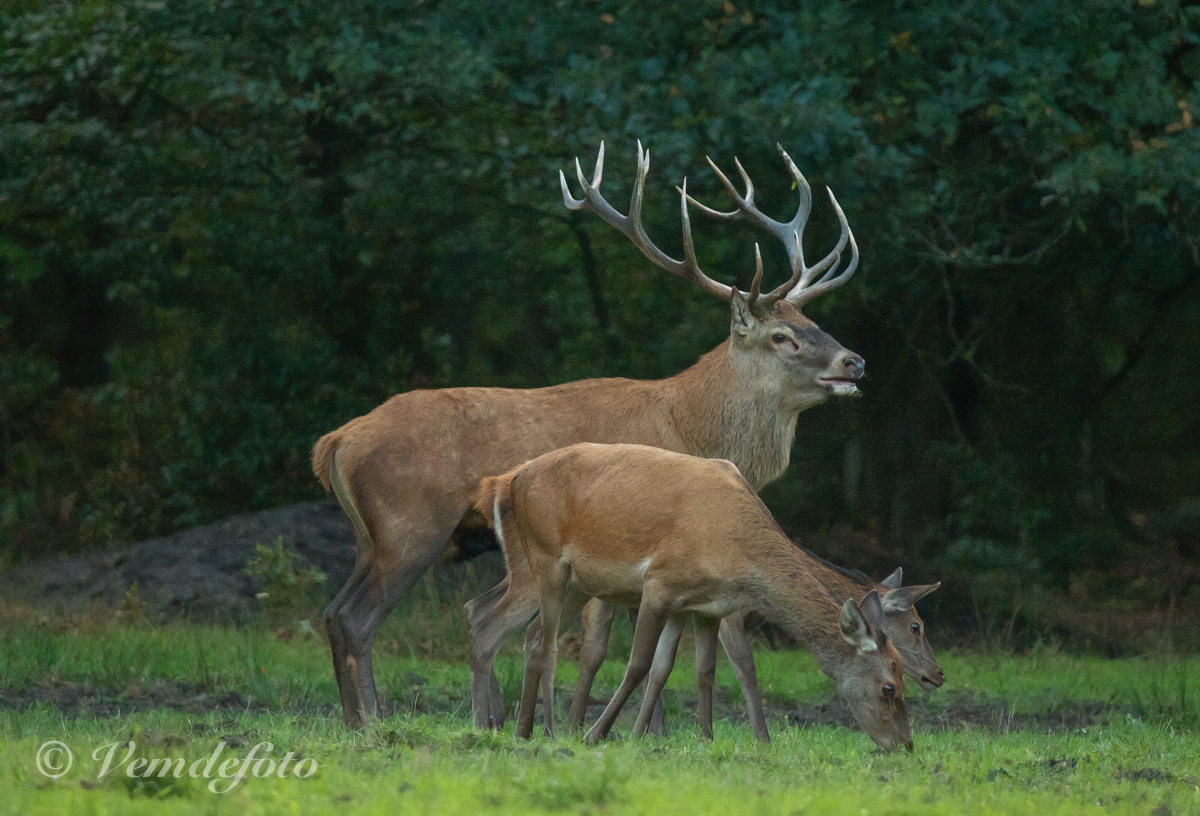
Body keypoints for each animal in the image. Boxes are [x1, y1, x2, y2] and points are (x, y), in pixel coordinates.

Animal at [313, 139, 867, 726]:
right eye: (782, 335)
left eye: (816, 324)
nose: (854, 361)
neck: (690, 426)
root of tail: (335, 443)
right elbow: (624, 646)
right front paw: (639, 730)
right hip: (411, 527)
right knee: (360, 618)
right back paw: (375, 719)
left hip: (369, 538)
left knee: (334, 610)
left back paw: (368, 720)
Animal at [473, 442, 915, 752]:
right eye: (889, 688)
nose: (906, 746)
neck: (736, 551)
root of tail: (509, 480)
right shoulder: (659, 584)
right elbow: (638, 664)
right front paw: (596, 735)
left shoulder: (703, 607)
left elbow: (693, 670)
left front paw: (700, 738)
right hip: (545, 559)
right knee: (544, 643)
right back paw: (545, 731)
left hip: (581, 583)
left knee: (532, 637)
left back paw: (524, 731)